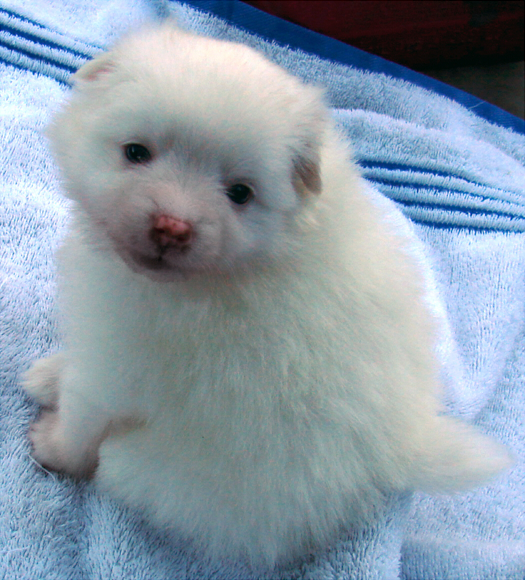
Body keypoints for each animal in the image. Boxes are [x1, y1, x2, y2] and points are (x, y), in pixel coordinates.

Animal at [22, 24, 510, 568]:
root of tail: (400, 450)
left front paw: (52, 446)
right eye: (136, 152)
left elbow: (83, 418)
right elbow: (73, 370)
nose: (172, 226)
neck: (241, 267)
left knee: (123, 467)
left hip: (157, 471)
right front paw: (49, 373)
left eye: (239, 193)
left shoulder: (119, 370)